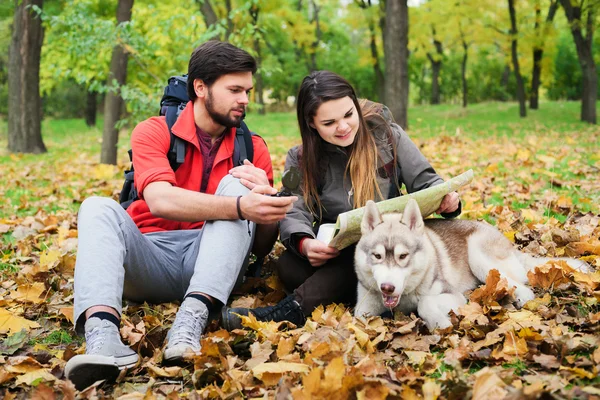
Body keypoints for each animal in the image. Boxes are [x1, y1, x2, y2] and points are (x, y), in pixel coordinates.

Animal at [354, 198, 588, 330]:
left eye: (403, 256)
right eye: (377, 256)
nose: (387, 287)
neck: (403, 299)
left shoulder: (452, 295)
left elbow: (425, 303)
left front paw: (438, 322)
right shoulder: (362, 309)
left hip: (478, 255)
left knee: (520, 286)